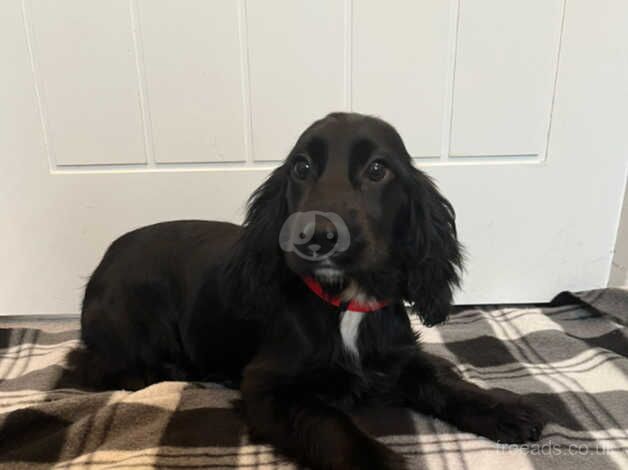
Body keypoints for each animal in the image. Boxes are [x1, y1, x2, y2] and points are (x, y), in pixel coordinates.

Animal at [77, 113, 544, 470]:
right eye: (301, 167)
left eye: (378, 169)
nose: (316, 236)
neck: (347, 303)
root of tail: (106, 256)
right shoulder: (267, 386)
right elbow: (330, 425)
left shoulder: (398, 354)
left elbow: (444, 379)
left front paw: (505, 409)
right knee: (97, 366)